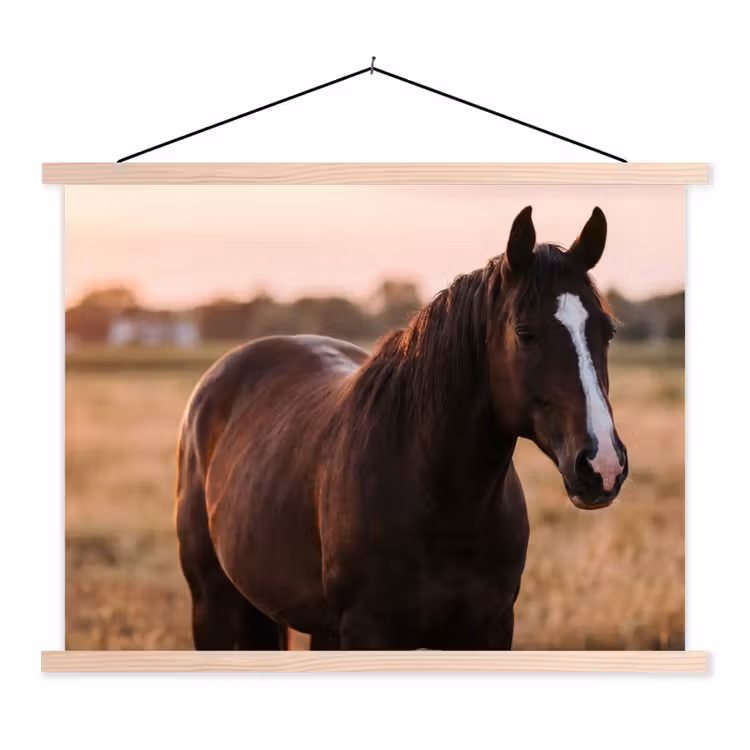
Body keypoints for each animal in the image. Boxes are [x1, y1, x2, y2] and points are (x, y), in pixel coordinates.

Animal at [175, 205, 629, 650]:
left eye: (607, 331)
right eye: (524, 332)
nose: (602, 466)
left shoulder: (490, 629)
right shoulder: (368, 630)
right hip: (212, 605)